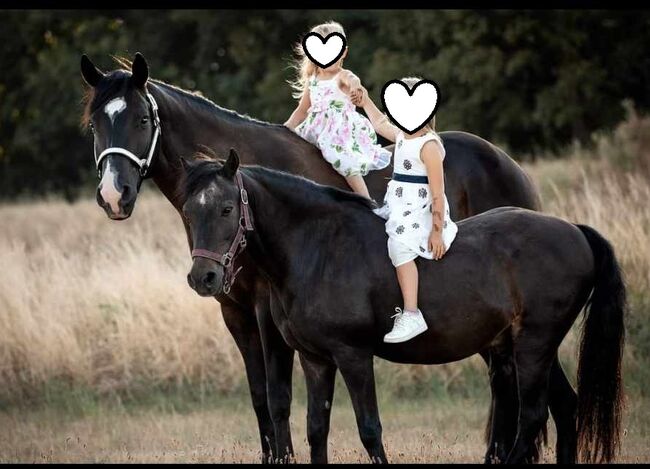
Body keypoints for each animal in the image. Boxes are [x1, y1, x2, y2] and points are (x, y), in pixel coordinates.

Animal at [77, 53, 576, 462]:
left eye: (143, 118)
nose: (114, 195)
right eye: (95, 125)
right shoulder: (234, 311)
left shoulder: (267, 311)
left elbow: (279, 398)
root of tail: (509, 166)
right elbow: (260, 399)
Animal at [181, 154, 624, 464]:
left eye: (226, 209)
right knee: (564, 408)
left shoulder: (353, 356)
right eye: (188, 211)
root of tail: (575, 231)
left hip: (533, 346)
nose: (203, 277)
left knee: (532, 417)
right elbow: (316, 429)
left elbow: (369, 430)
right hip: (530, 347)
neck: (318, 246)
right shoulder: (315, 360)